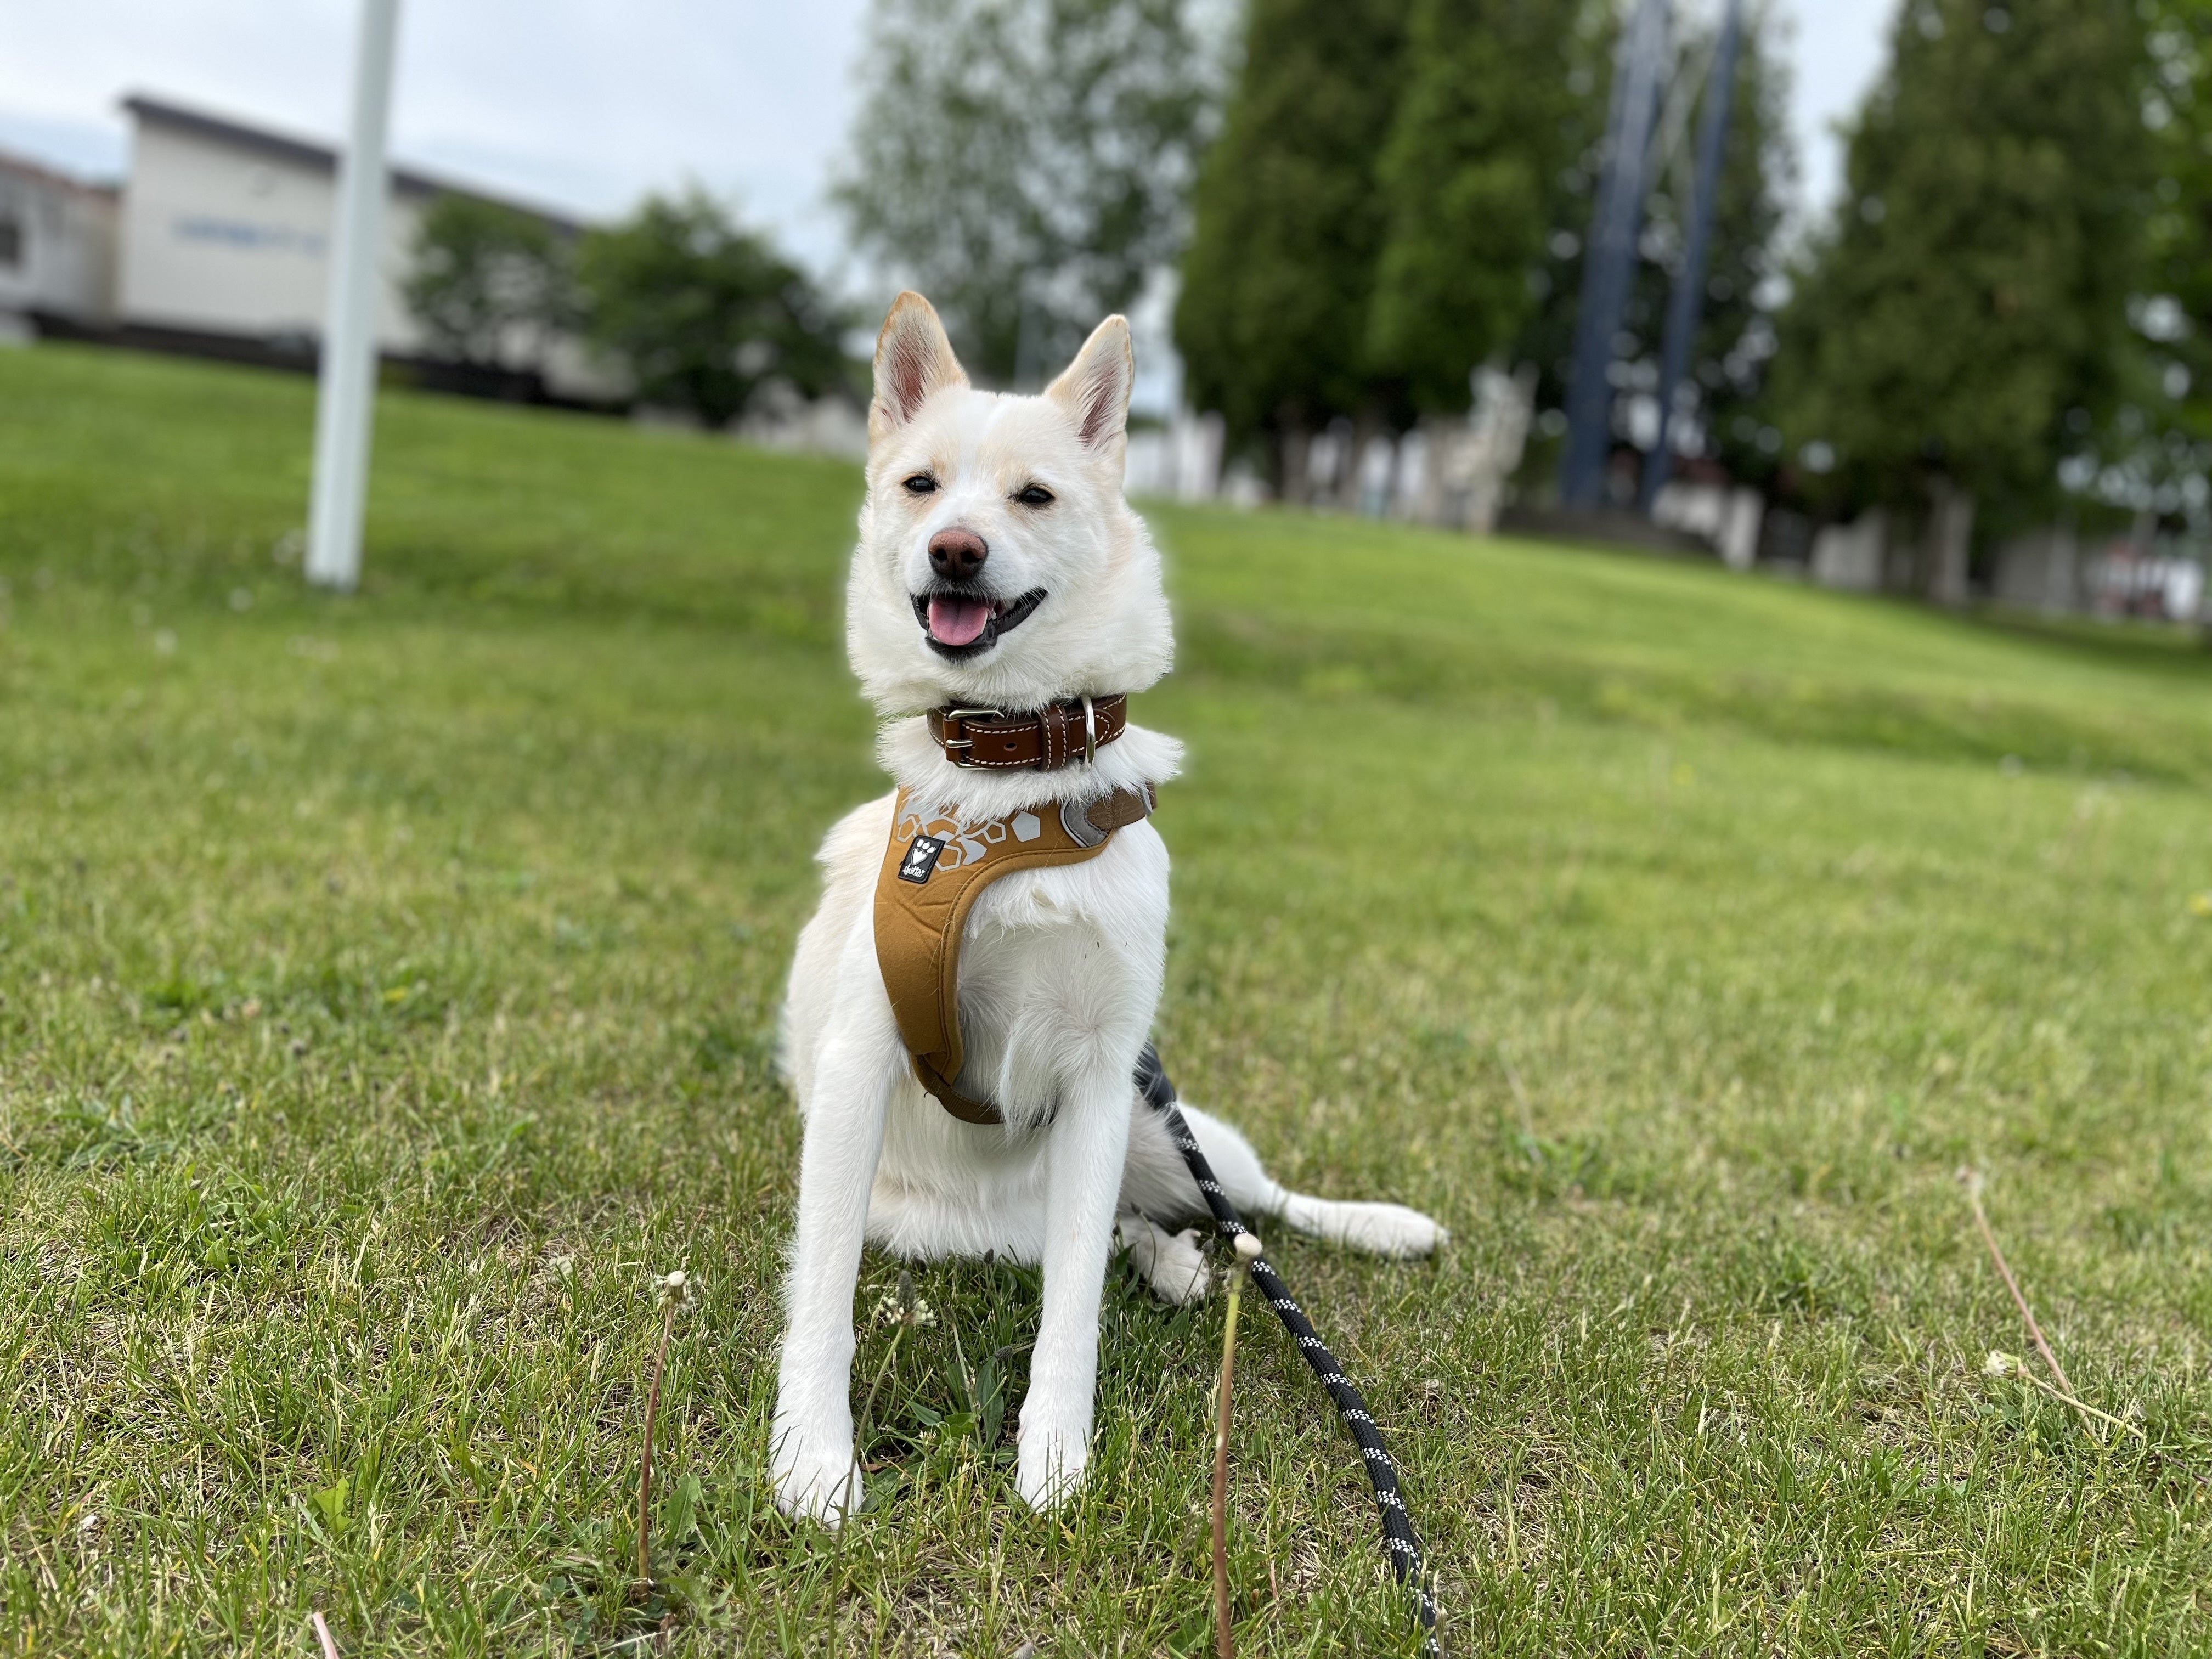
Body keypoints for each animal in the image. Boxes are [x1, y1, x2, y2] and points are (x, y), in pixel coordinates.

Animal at [770, 292, 1443, 1523]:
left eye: (1032, 496)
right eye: (922, 486)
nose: (955, 550)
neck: (1012, 788)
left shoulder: (1098, 1071)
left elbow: (1075, 1303)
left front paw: (1055, 1451)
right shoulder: (856, 1067)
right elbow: (826, 1297)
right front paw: (812, 1457)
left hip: (1167, 1124)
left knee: (1254, 1211)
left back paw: (1353, 1229)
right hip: (941, 1203)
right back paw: (1174, 1259)